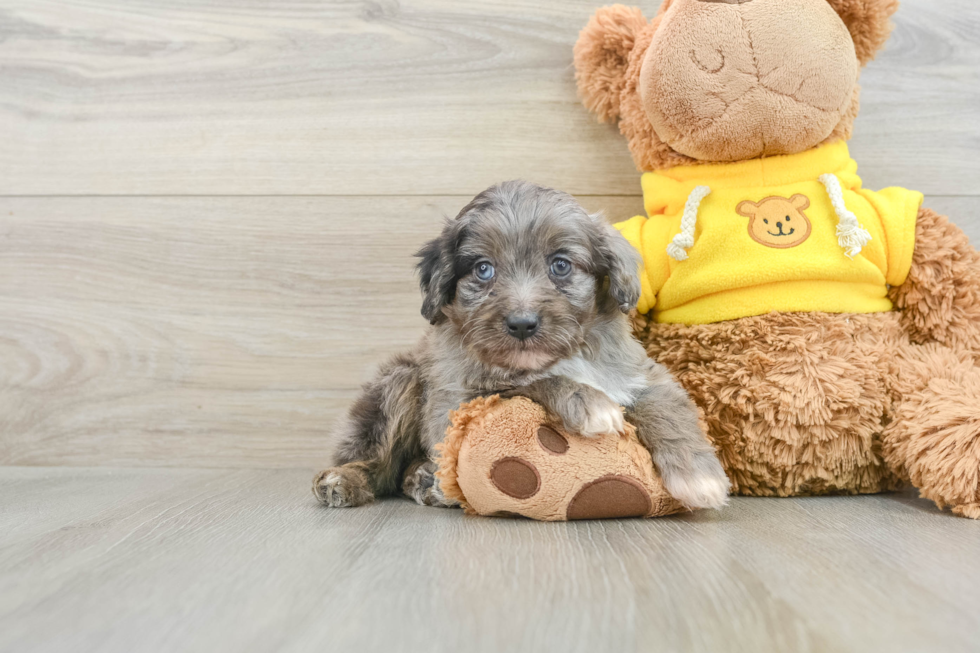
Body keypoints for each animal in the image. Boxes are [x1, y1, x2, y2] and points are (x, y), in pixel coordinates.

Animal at [314, 181, 728, 512]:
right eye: (483, 269)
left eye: (560, 265)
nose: (522, 324)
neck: (563, 355)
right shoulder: (457, 401)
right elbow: (527, 382)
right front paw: (588, 402)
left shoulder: (640, 374)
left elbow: (667, 411)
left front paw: (699, 477)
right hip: (398, 383)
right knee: (380, 465)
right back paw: (345, 481)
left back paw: (425, 483)